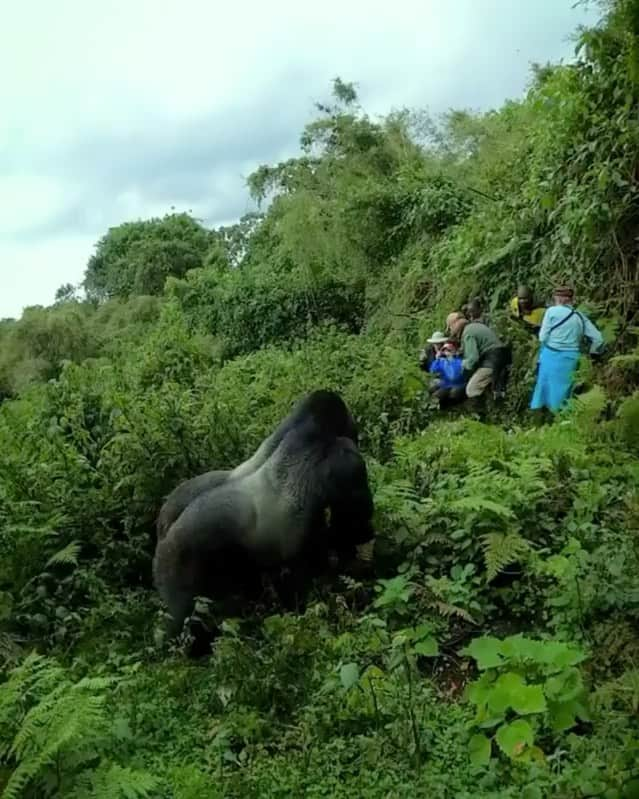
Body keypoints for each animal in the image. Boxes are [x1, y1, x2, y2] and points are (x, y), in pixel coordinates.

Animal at [153, 390, 376, 652]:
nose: (356, 432)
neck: (307, 434)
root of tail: (163, 532)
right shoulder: (346, 463)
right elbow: (352, 526)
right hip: (178, 560)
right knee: (187, 618)